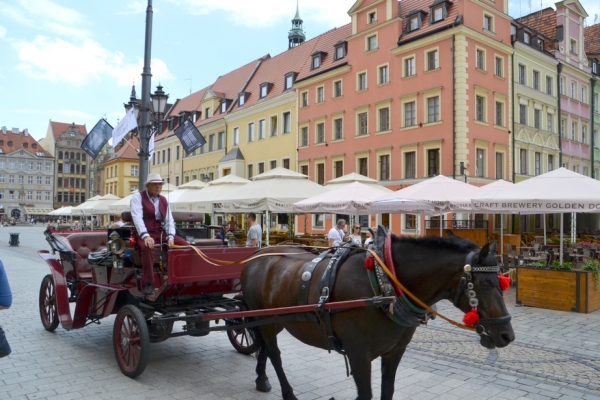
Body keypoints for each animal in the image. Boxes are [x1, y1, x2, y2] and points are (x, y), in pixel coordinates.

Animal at [240, 228, 516, 400]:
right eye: (485, 284)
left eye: (502, 282)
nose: (507, 335)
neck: (384, 284)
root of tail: (256, 254)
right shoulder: (358, 354)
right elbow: (366, 394)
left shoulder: (394, 352)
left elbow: (387, 391)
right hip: (264, 318)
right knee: (274, 353)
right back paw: (288, 392)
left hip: (276, 319)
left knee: (265, 347)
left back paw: (261, 379)